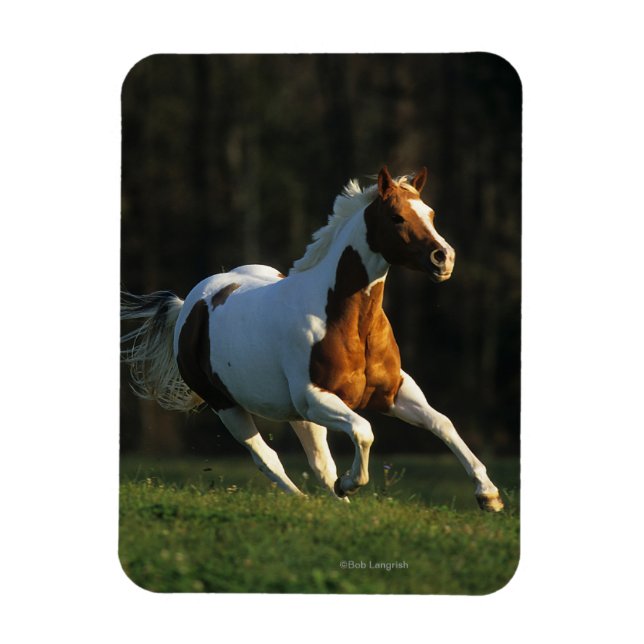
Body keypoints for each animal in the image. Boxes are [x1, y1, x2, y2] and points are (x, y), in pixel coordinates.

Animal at [121, 166, 504, 511]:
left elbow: (442, 423)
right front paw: (350, 483)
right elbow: (364, 430)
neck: (348, 322)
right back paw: (307, 499)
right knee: (268, 458)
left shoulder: (394, 391)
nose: (444, 258)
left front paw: (489, 495)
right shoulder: (316, 398)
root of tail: (190, 305)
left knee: (319, 463)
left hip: (295, 414)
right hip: (228, 405)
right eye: (396, 217)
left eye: (431, 213)